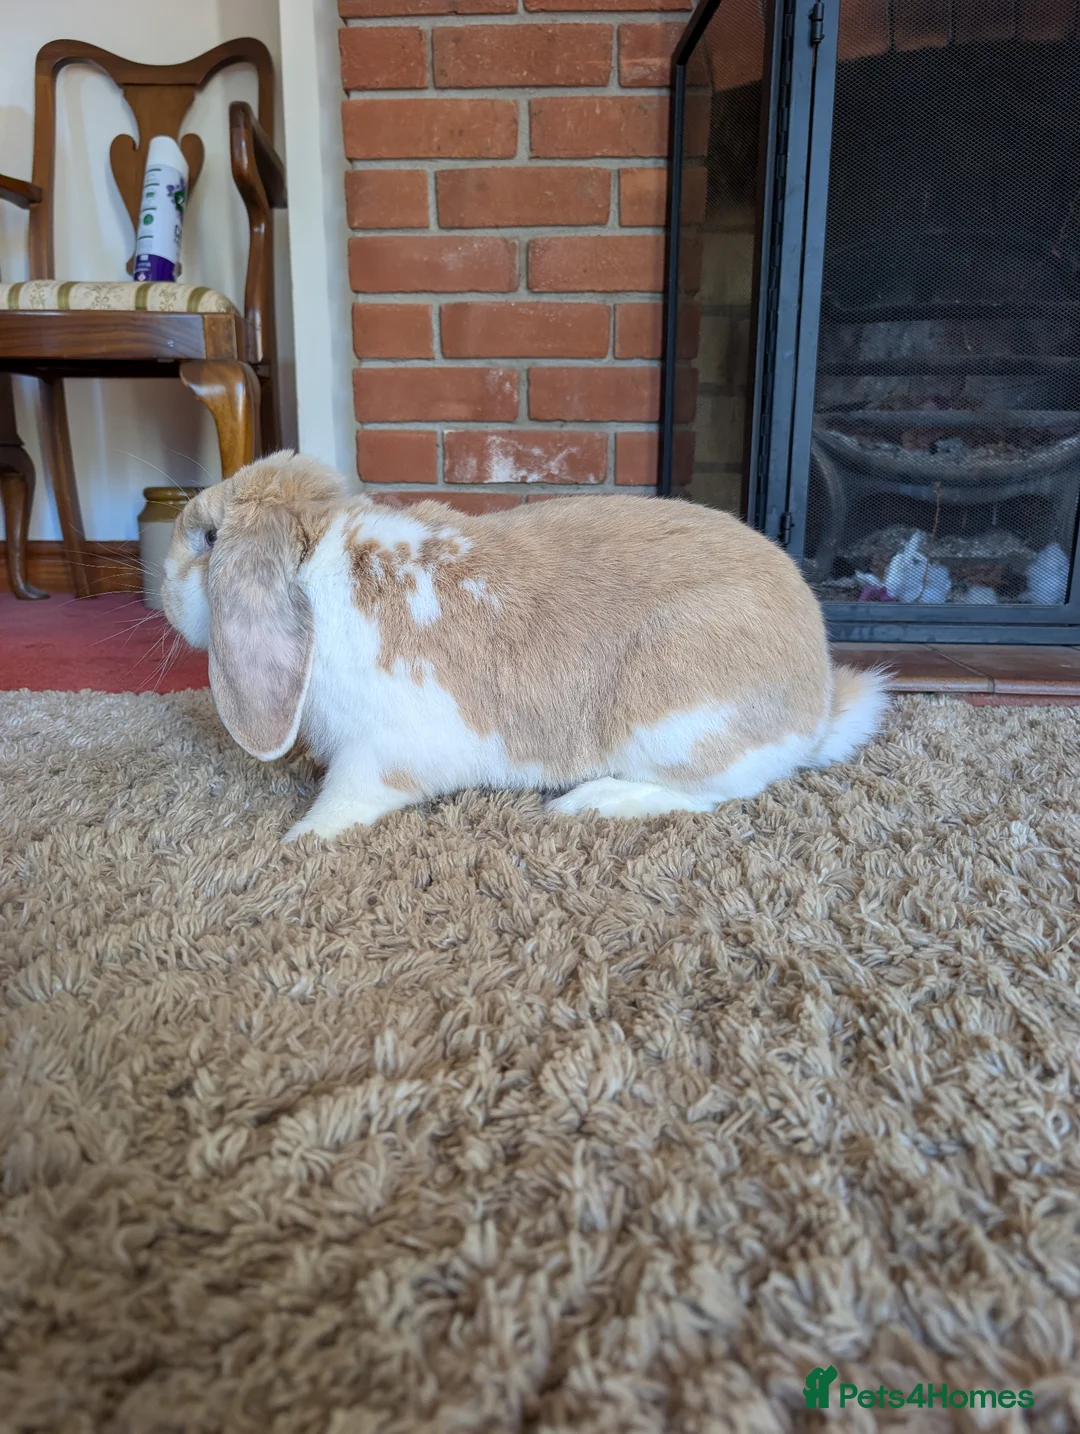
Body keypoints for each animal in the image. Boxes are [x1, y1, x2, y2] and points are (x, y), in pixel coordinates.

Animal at [161, 452, 889, 842]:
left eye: (207, 538)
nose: (162, 593)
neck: (316, 573)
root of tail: (818, 704)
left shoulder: (380, 756)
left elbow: (345, 799)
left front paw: (298, 840)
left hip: (674, 718)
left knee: (718, 793)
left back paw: (588, 803)